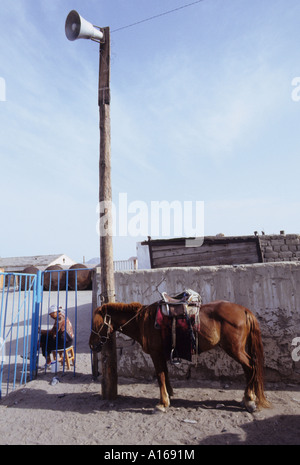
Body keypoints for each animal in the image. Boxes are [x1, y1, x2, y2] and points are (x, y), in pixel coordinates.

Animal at [88, 300, 270, 412]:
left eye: (96, 324)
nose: (91, 345)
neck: (143, 321)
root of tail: (244, 310)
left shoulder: (156, 354)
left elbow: (160, 375)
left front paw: (162, 403)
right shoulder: (161, 354)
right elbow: (165, 374)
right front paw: (169, 395)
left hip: (234, 349)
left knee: (250, 366)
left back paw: (249, 399)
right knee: (249, 368)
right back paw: (248, 397)